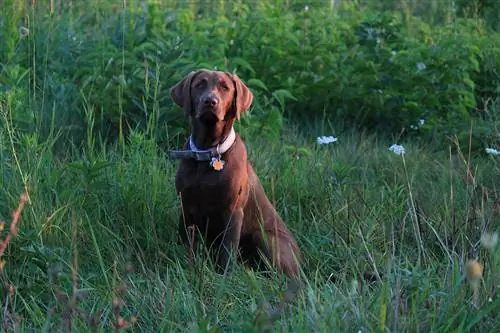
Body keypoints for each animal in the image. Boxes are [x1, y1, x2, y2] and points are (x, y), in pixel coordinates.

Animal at [168, 68, 300, 276]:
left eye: (225, 87)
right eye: (200, 84)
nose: (210, 101)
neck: (208, 152)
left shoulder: (233, 211)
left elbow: (227, 249)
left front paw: (224, 276)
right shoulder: (186, 205)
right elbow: (187, 242)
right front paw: (186, 266)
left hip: (265, 237)